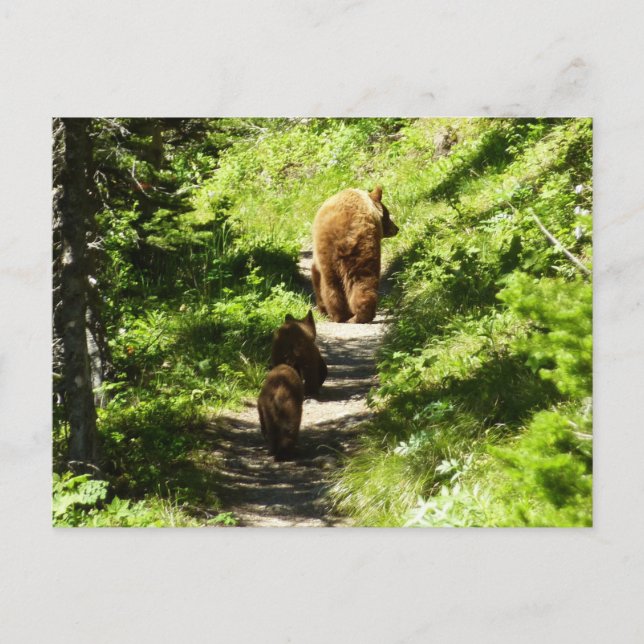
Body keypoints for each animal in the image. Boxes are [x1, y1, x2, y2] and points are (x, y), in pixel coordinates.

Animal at [311, 186, 398, 323]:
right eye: (388, 214)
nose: (396, 228)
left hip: (335, 253)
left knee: (335, 284)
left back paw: (342, 315)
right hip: (359, 250)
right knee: (361, 280)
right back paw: (356, 315)